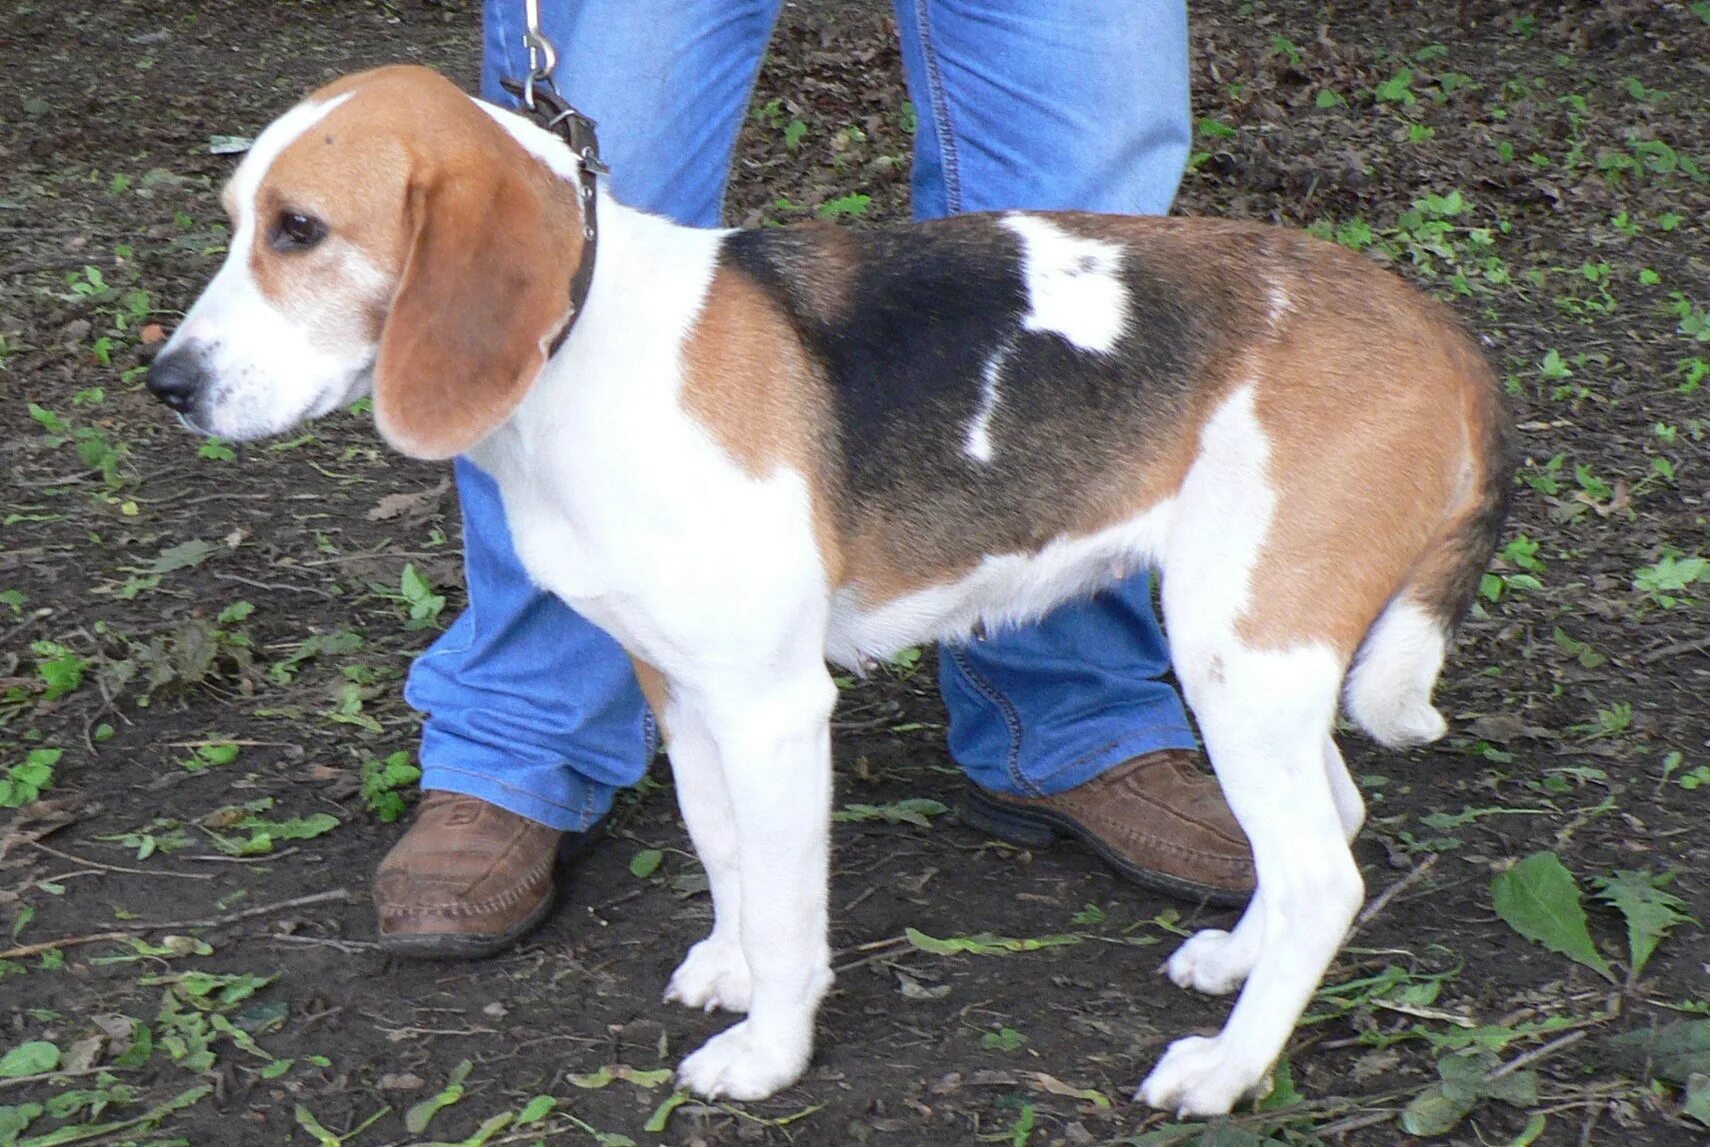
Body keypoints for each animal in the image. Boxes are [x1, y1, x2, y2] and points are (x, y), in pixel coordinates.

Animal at [147, 67, 1511, 1114]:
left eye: (300, 229)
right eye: (237, 216)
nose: (167, 385)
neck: (589, 355)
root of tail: (1438, 328)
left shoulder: (773, 708)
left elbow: (794, 909)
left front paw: (769, 1049)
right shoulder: (681, 691)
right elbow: (730, 857)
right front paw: (734, 967)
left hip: (1238, 650)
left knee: (1325, 875)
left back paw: (1225, 1071)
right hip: (1260, 651)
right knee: (1328, 825)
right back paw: (1237, 959)